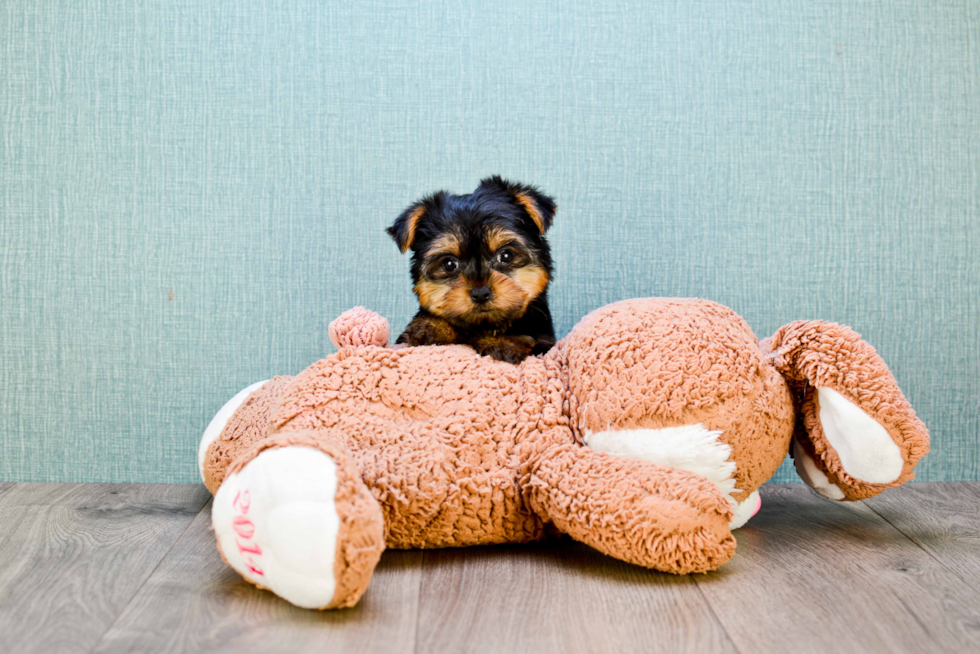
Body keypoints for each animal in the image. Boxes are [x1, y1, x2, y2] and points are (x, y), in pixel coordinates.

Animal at [390, 177, 560, 366]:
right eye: (449, 264)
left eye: (506, 255)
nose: (480, 293)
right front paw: (431, 327)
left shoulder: (544, 342)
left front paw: (503, 342)